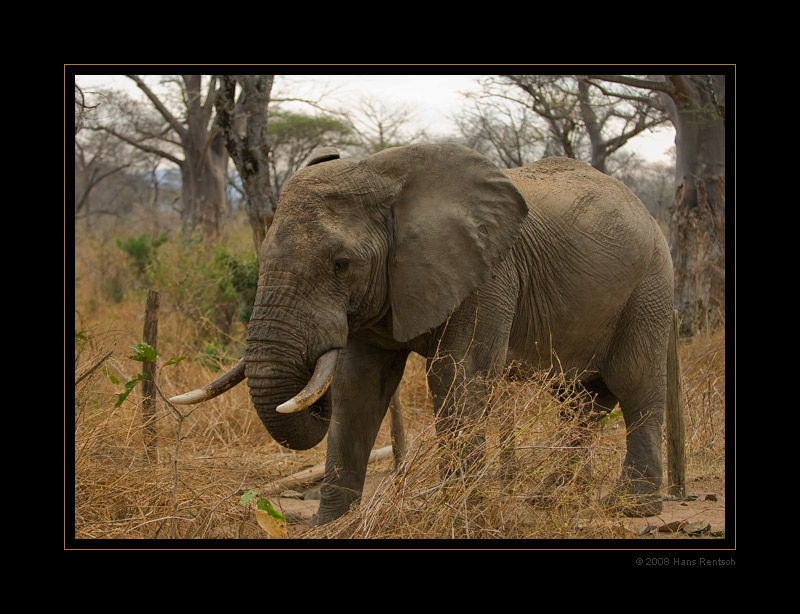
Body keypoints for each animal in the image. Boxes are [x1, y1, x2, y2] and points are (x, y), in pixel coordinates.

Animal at [170, 144, 676, 528]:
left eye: (341, 264)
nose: (311, 394)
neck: (384, 175)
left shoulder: (489, 275)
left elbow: (458, 376)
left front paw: (455, 518)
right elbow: (358, 387)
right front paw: (329, 526)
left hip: (649, 286)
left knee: (634, 386)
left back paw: (631, 506)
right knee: (580, 400)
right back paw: (549, 499)